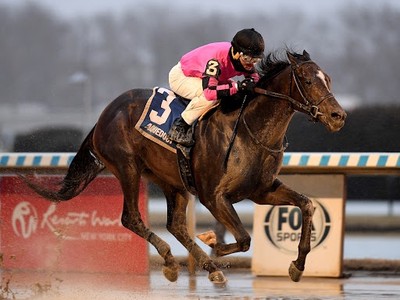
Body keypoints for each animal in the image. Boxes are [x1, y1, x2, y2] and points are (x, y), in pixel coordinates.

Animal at [23, 50, 346, 284]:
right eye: (307, 80)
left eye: (328, 78)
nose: (338, 116)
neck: (249, 129)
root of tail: (104, 114)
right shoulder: (213, 196)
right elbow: (243, 239)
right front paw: (212, 239)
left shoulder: (262, 190)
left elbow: (306, 205)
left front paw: (298, 264)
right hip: (128, 167)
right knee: (131, 218)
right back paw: (175, 259)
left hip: (171, 180)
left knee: (175, 225)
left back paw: (201, 266)